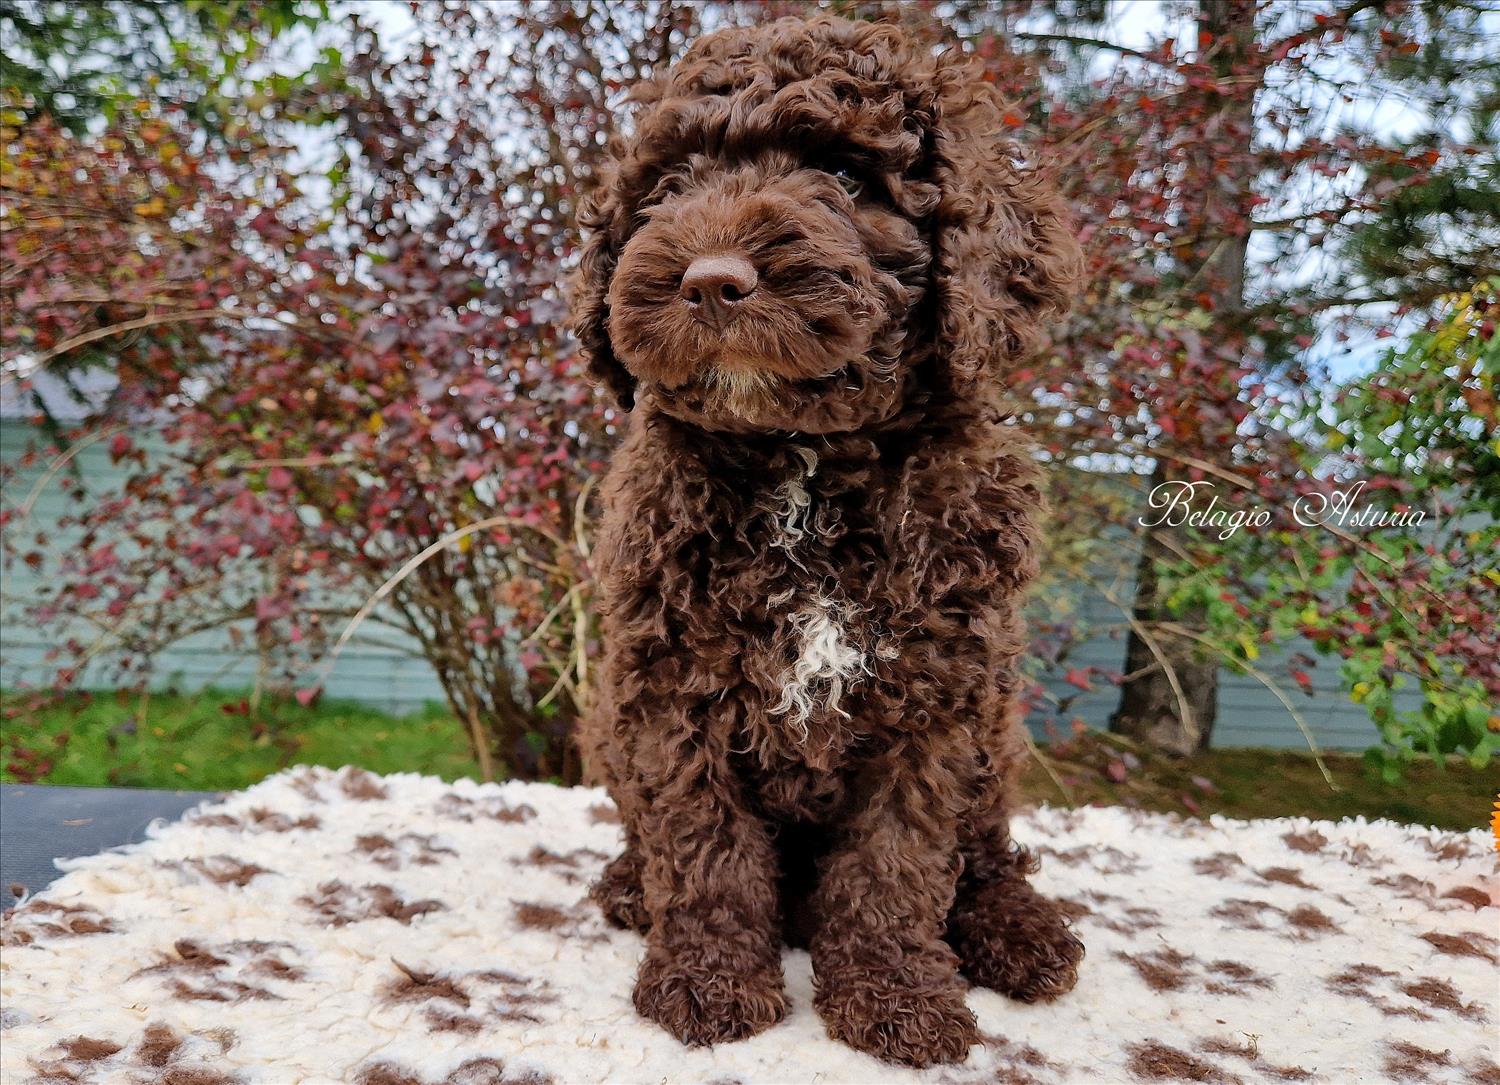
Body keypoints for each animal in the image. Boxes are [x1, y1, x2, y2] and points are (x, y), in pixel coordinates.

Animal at [571, 14, 1085, 1069]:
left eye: (848, 179)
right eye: (670, 185)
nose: (711, 282)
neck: (803, 465)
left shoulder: (937, 694)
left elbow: (898, 856)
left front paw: (896, 996)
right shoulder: (669, 681)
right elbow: (703, 838)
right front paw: (707, 980)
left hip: (994, 732)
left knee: (984, 852)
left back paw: (1020, 932)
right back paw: (633, 887)